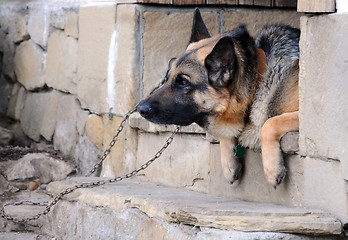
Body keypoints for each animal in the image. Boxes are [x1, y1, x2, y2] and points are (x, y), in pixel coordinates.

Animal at [137, 8, 300, 189]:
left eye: (183, 82)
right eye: (167, 78)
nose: (140, 109)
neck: (258, 78)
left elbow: (269, 123)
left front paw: (272, 170)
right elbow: (226, 133)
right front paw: (229, 165)